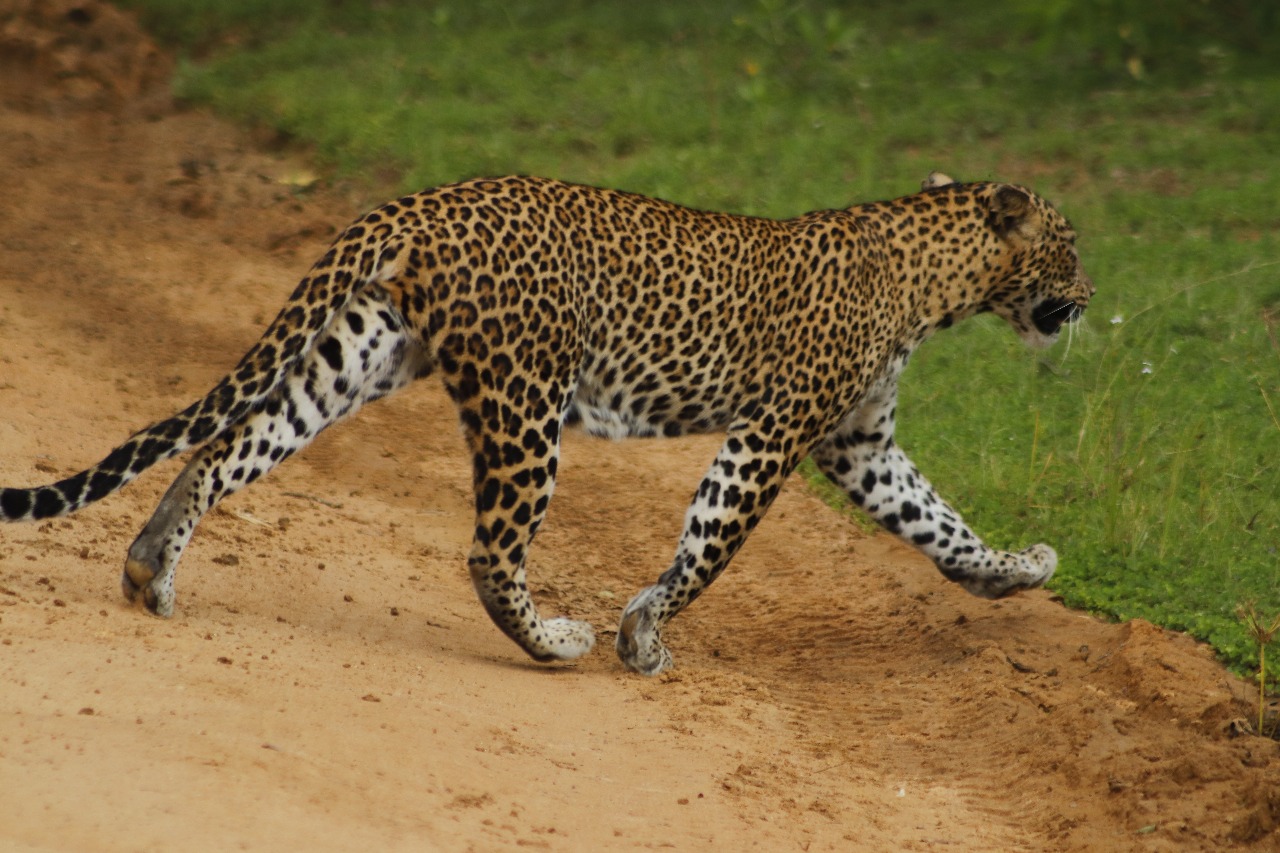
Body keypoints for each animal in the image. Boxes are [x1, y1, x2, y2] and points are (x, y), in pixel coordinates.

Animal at [5, 171, 1095, 671]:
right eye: (1073, 245)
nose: (1090, 296)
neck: (934, 280)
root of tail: (421, 204)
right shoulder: (776, 436)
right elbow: (708, 543)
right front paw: (642, 634)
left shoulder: (858, 443)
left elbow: (939, 522)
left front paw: (1017, 570)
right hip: (526, 401)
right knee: (491, 551)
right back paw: (554, 642)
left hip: (356, 355)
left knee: (227, 447)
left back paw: (149, 568)